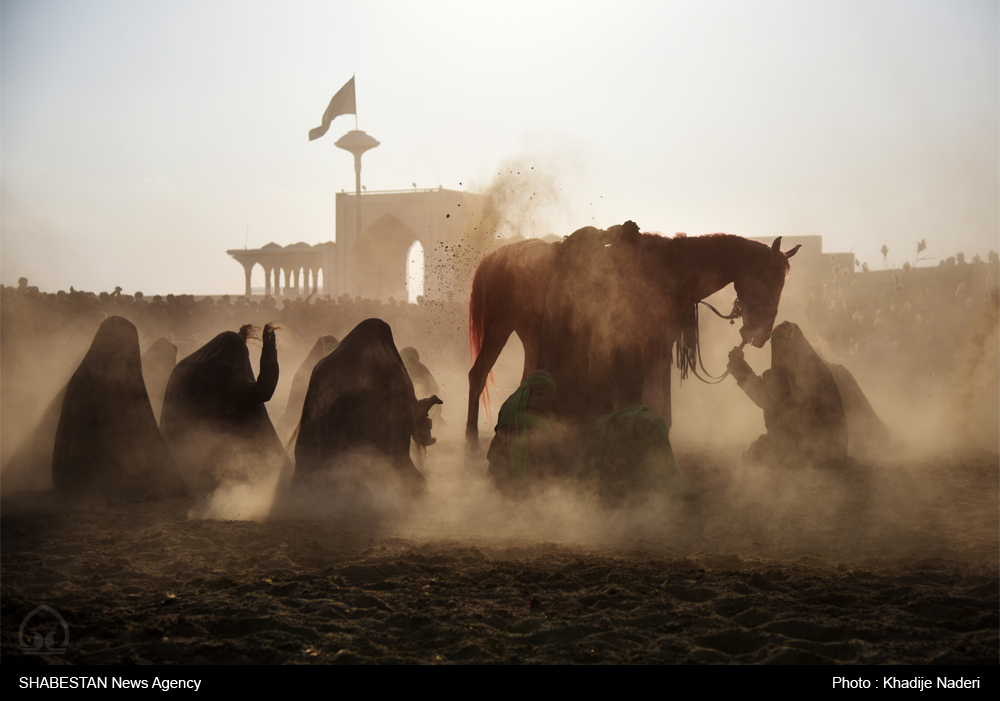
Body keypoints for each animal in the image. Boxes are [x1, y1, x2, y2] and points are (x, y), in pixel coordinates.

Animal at [464, 227, 800, 452]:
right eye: (768, 279)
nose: (762, 334)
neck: (668, 272)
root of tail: (495, 257)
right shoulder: (649, 345)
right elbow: (653, 398)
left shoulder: (662, 345)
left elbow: (662, 402)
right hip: (499, 328)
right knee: (478, 375)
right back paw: (471, 440)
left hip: (530, 335)